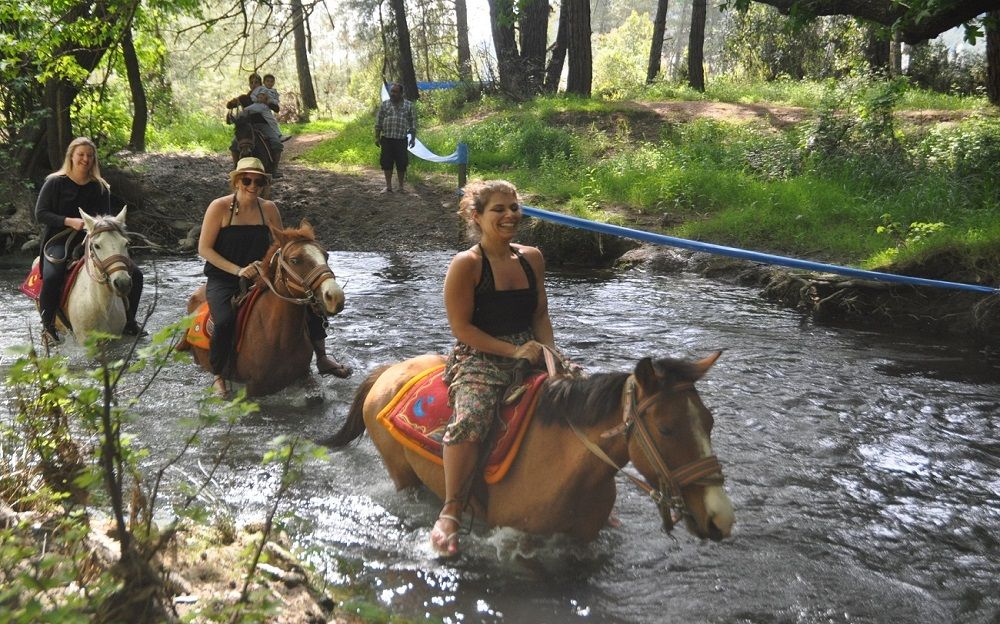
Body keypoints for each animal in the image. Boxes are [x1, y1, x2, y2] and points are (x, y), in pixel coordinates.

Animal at [182, 219, 346, 394]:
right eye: (295, 260)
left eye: (326, 255)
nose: (335, 297)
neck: (279, 339)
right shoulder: (253, 389)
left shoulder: (304, 377)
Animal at [326, 354, 736, 544]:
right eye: (666, 428)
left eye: (710, 422)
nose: (720, 517)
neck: (566, 466)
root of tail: (390, 371)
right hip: (401, 474)